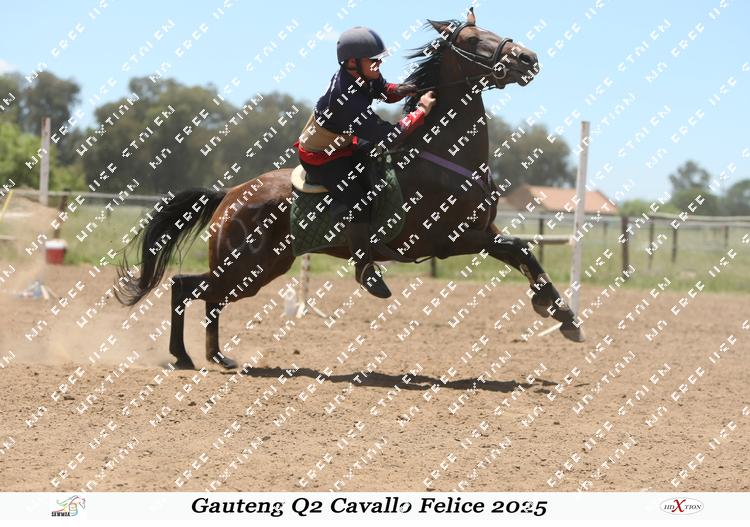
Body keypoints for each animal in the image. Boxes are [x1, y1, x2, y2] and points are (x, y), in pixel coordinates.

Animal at [115, 8, 585, 371]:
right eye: (473, 39)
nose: (527, 57)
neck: (444, 157)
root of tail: (230, 194)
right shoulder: (450, 239)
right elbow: (519, 248)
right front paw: (559, 313)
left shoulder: (483, 233)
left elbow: (523, 251)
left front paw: (564, 316)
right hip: (248, 265)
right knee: (196, 291)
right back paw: (198, 356)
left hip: (262, 267)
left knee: (194, 290)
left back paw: (202, 357)